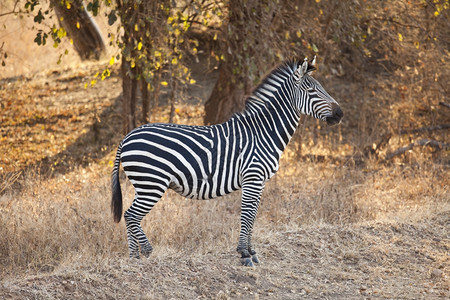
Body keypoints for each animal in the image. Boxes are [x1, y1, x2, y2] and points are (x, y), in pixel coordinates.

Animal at [110, 57, 342, 266]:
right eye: (312, 91)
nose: (340, 114)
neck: (263, 132)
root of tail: (127, 136)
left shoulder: (259, 182)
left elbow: (253, 215)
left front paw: (251, 252)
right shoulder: (252, 177)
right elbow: (247, 215)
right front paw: (244, 254)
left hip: (144, 184)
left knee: (130, 216)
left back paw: (134, 258)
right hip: (151, 183)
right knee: (131, 215)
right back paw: (145, 252)